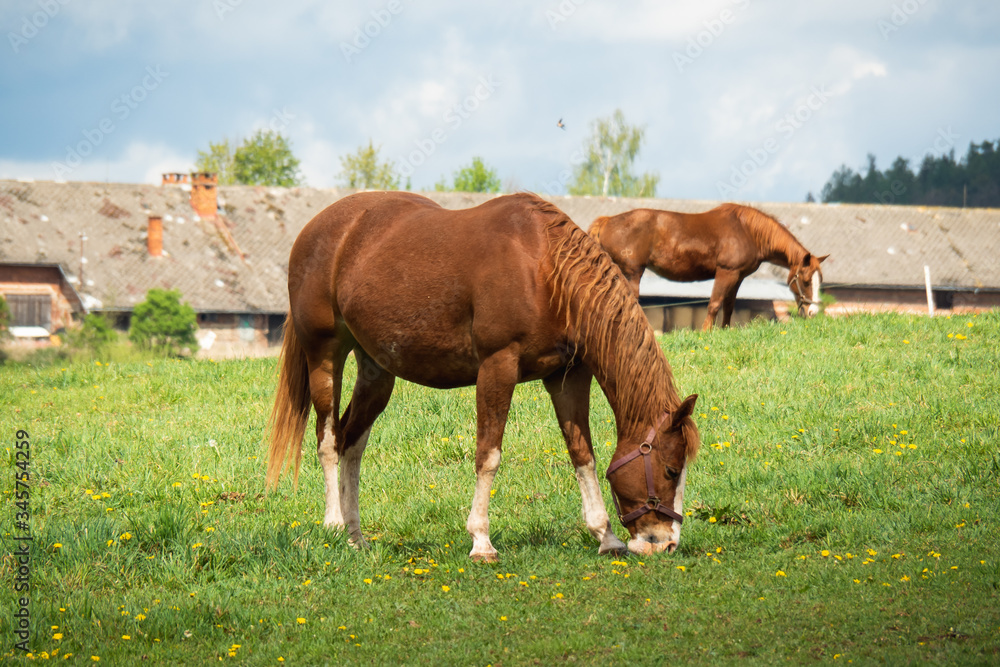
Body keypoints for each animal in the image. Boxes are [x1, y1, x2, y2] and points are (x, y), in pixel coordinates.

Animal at [267, 191, 700, 561]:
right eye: (670, 470)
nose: (665, 543)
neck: (545, 269)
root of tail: (317, 229)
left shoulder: (567, 376)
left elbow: (583, 455)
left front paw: (605, 536)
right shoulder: (498, 367)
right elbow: (488, 456)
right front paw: (481, 541)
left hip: (377, 372)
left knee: (351, 443)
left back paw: (356, 535)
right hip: (324, 356)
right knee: (327, 440)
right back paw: (334, 524)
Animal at [589, 204, 829, 330]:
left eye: (820, 281)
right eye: (805, 281)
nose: (813, 311)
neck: (747, 230)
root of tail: (607, 221)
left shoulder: (737, 277)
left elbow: (729, 306)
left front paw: (724, 330)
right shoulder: (725, 273)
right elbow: (714, 304)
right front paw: (705, 332)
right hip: (631, 273)